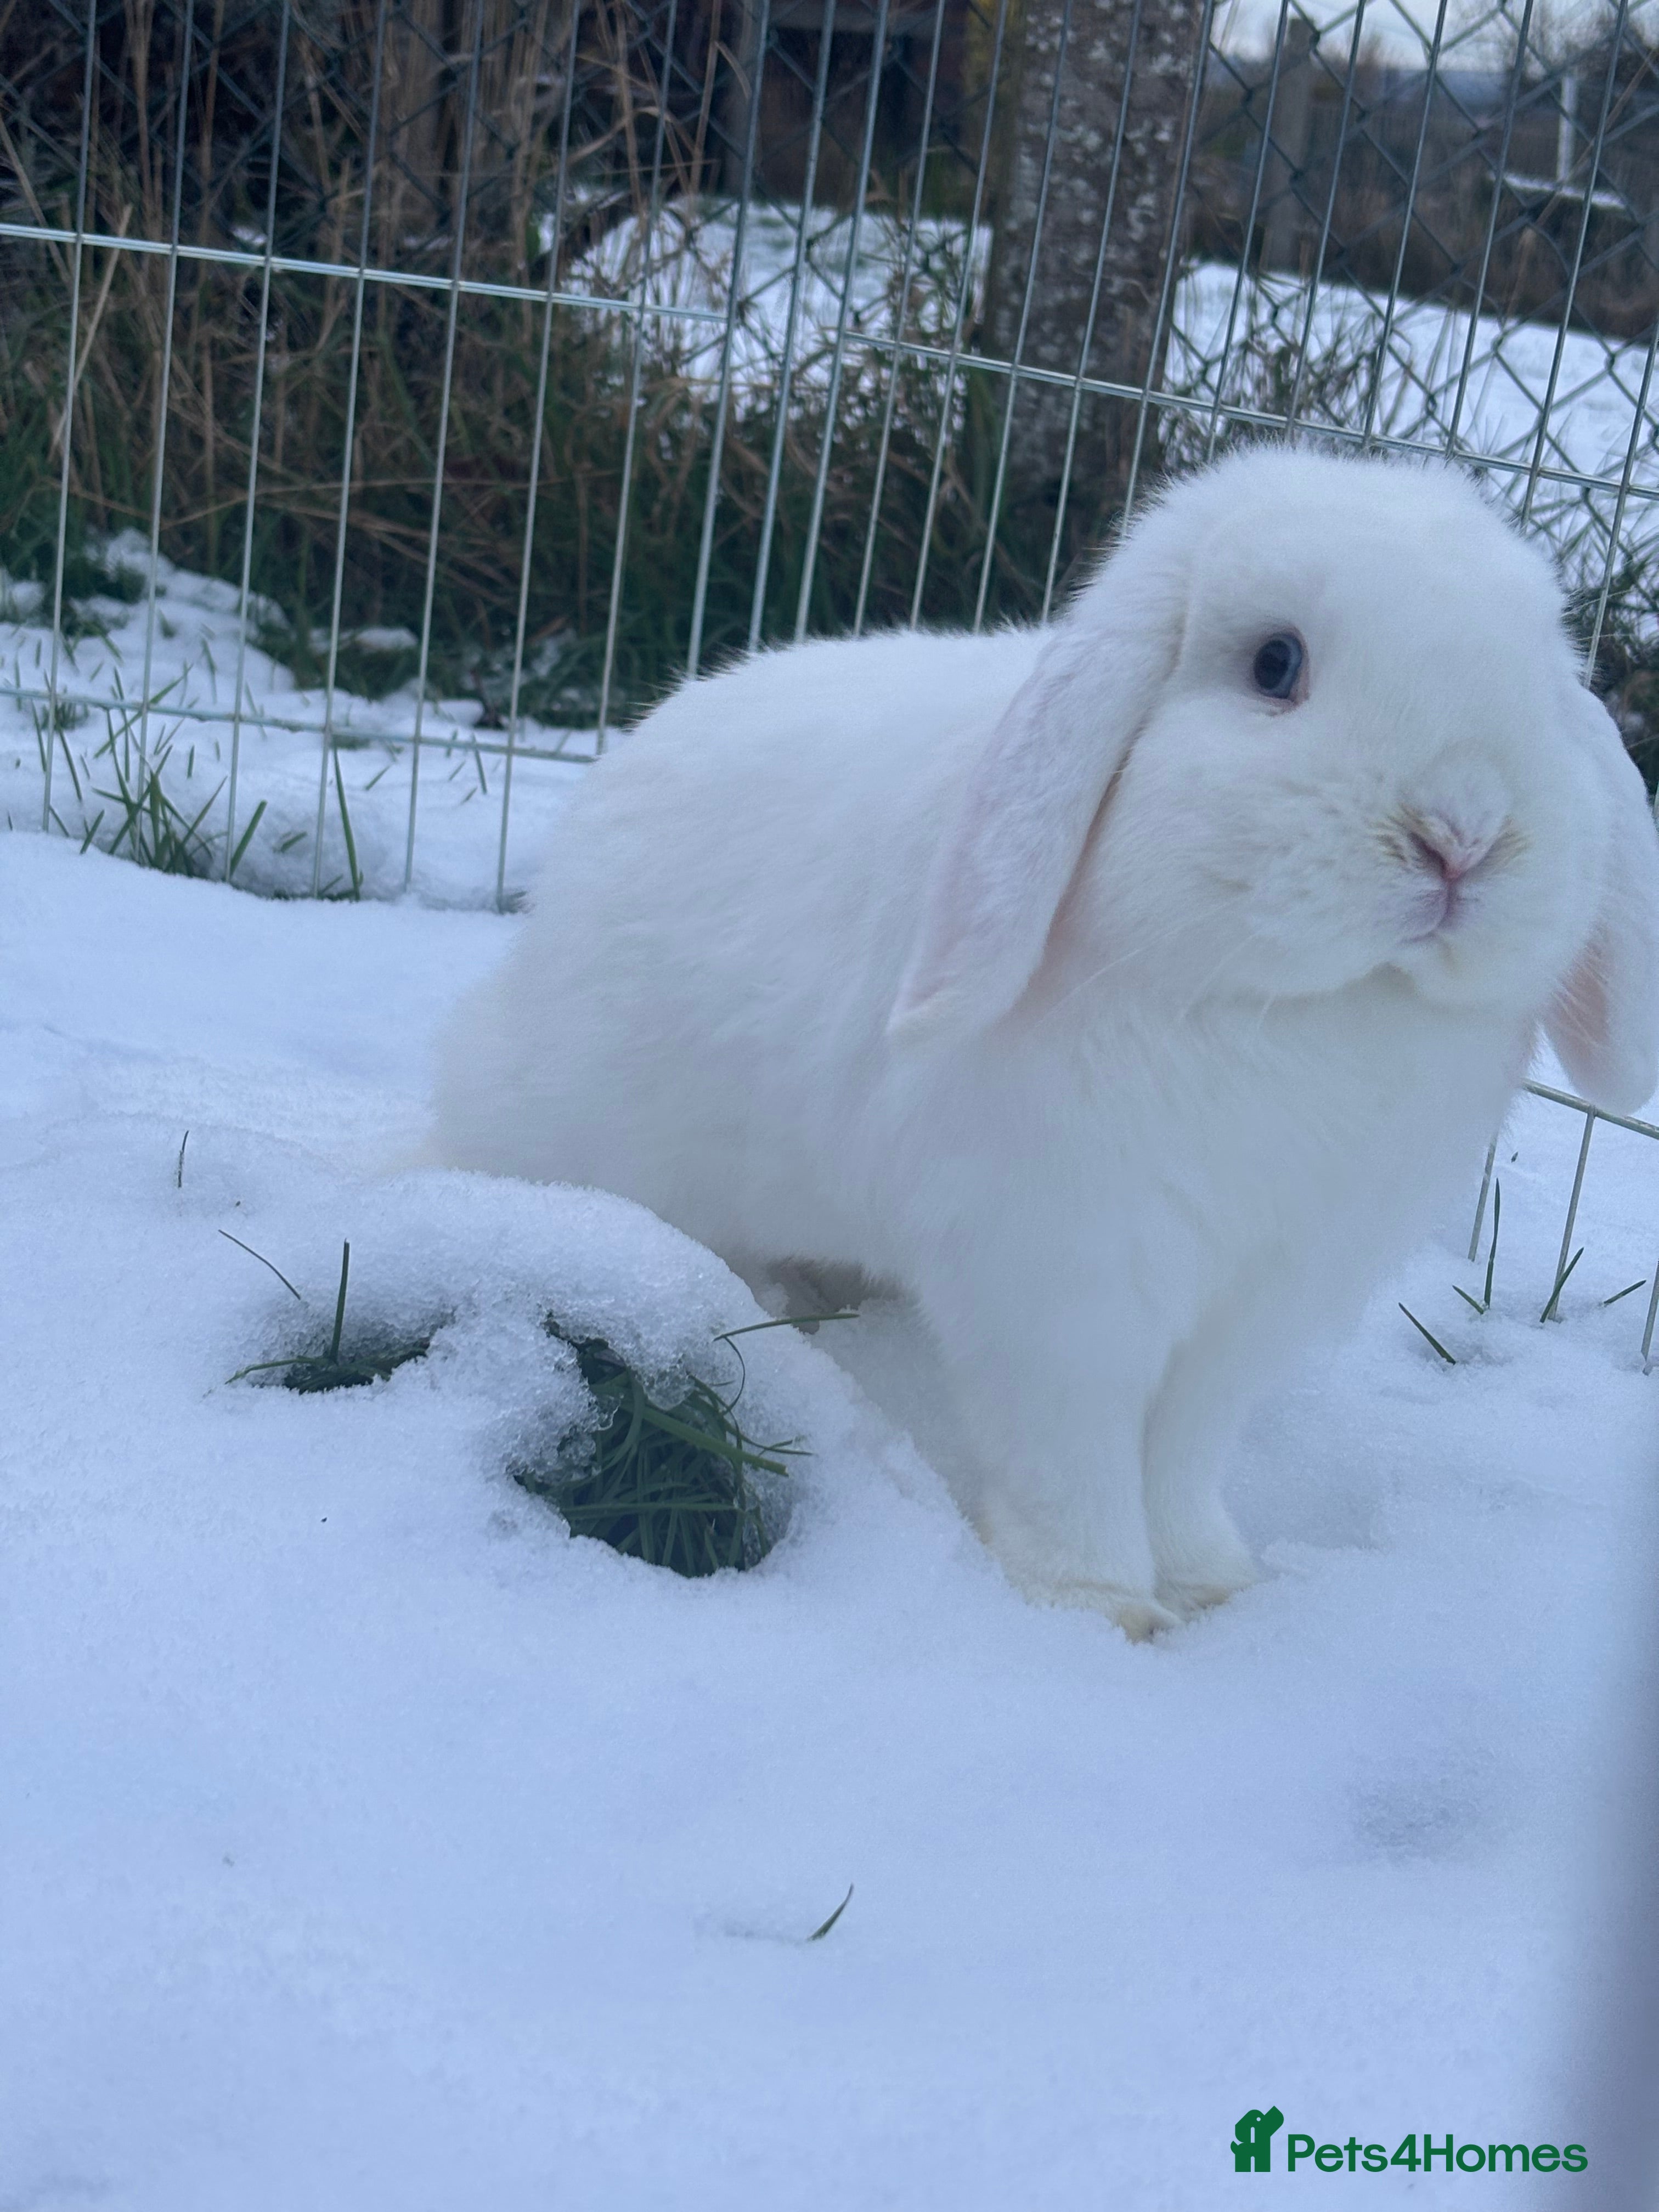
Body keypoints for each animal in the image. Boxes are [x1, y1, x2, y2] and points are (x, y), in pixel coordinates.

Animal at [431, 445, 1659, 1638]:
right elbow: (1075, 1459)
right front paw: (1100, 1609)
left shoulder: (1253, 1307)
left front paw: (1216, 1588)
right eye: (1275, 664)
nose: (1463, 832)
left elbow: (1183, 1455)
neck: (1299, 1012)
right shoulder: (1062, 1289)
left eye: (1541, 679)